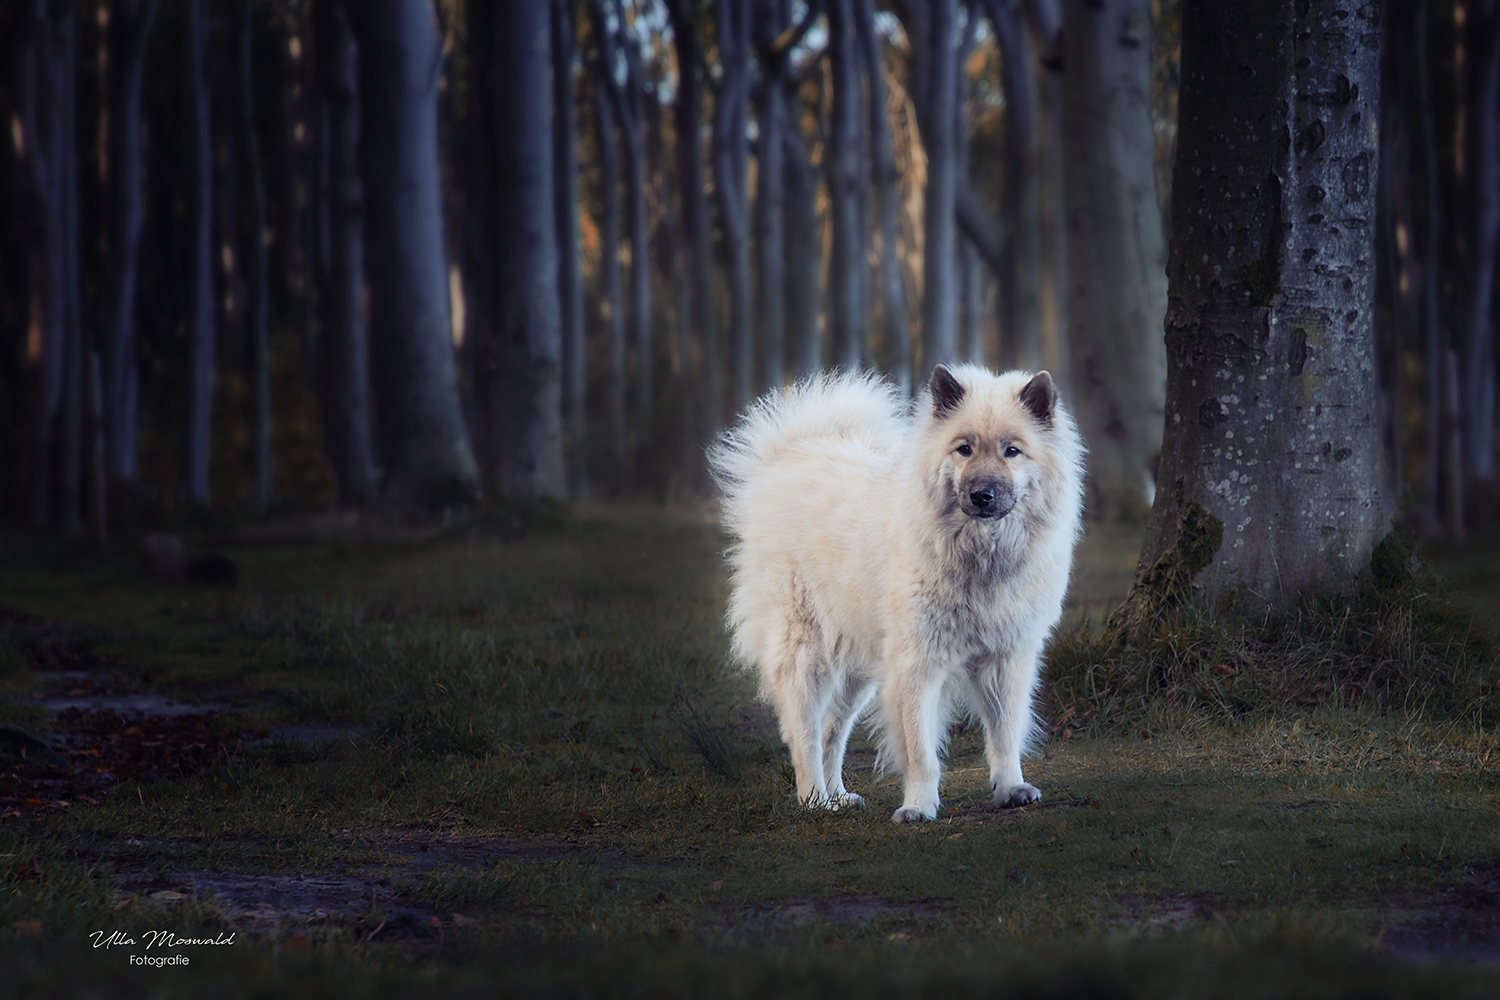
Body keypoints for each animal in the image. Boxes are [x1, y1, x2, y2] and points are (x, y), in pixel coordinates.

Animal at [708, 364, 1086, 827]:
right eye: (964, 449)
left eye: (1012, 451)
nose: (982, 495)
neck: (980, 557)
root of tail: (792, 454)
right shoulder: (917, 664)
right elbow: (921, 751)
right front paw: (918, 807)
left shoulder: (1007, 659)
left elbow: (1004, 733)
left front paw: (1011, 788)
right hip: (807, 656)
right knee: (805, 734)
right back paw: (814, 799)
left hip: (858, 669)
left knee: (833, 730)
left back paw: (838, 797)